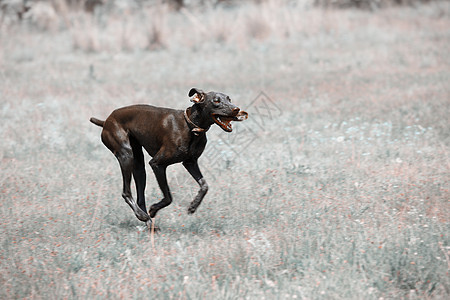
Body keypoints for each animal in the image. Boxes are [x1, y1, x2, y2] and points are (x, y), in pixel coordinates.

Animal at [89, 88, 248, 227]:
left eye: (229, 99)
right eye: (216, 101)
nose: (236, 109)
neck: (191, 127)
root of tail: (106, 120)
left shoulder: (190, 162)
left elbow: (204, 186)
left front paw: (193, 206)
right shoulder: (157, 164)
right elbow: (168, 197)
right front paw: (154, 209)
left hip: (139, 166)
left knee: (140, 197)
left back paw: (149, 224)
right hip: (126, 155)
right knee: (126, 192)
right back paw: (143, 216)